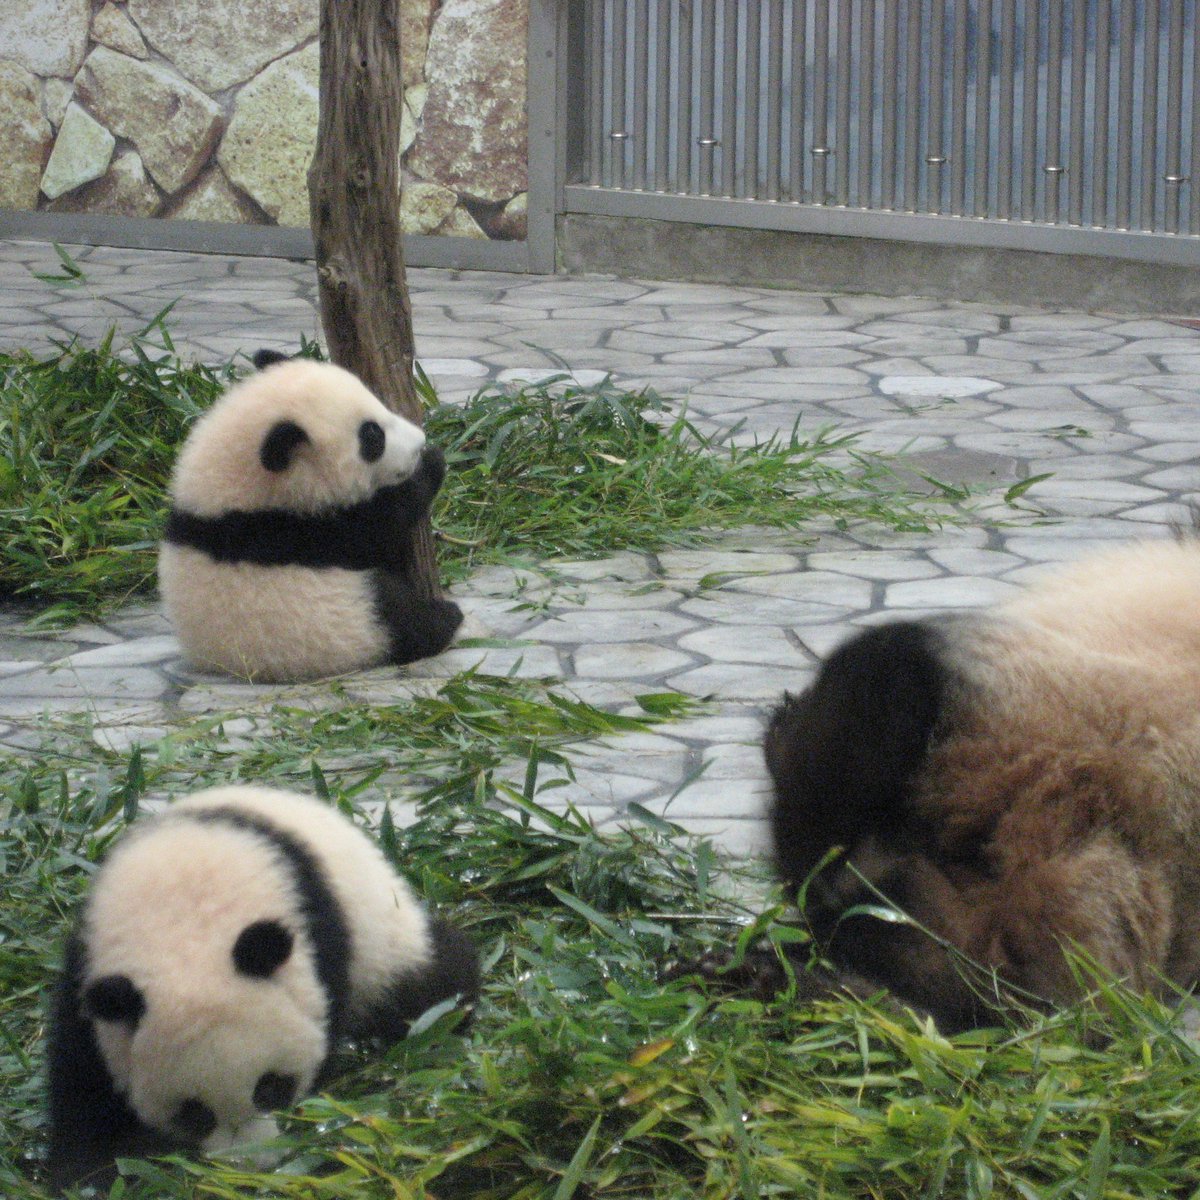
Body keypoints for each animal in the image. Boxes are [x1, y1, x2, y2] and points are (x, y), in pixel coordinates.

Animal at [45, 785, 480, 1192]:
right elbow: (83, 1079)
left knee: (428, 986)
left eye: (270, 1087)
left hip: (384, 939)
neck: (183, 931)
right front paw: (88, 1171)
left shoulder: (318, 932)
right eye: (194, 1113)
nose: (251, 1165)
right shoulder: (88, 966)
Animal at [159, 350, 463, 682]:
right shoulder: (289, 531)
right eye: (373, 437)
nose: (419, 442)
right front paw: (431, 464)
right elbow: (375, 528)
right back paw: (446, 618)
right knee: (396, 614)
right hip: (348, 620)